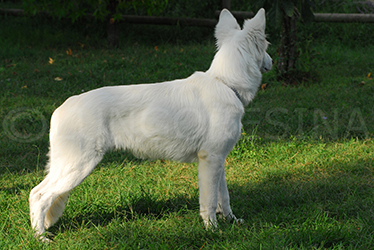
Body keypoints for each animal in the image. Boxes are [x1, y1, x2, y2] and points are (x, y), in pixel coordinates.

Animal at [28, 8, 272, 241]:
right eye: (267, 46)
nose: (271, 61)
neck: (225, 83)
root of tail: (60, 109)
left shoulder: (219, 160)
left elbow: (225, 197)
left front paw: (232, 221)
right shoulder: (210, 160)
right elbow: (210, 202)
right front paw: (212, 230)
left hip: (67, 166)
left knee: (36, 194)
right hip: (79, 166)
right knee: (38, 196)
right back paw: (41, 238)